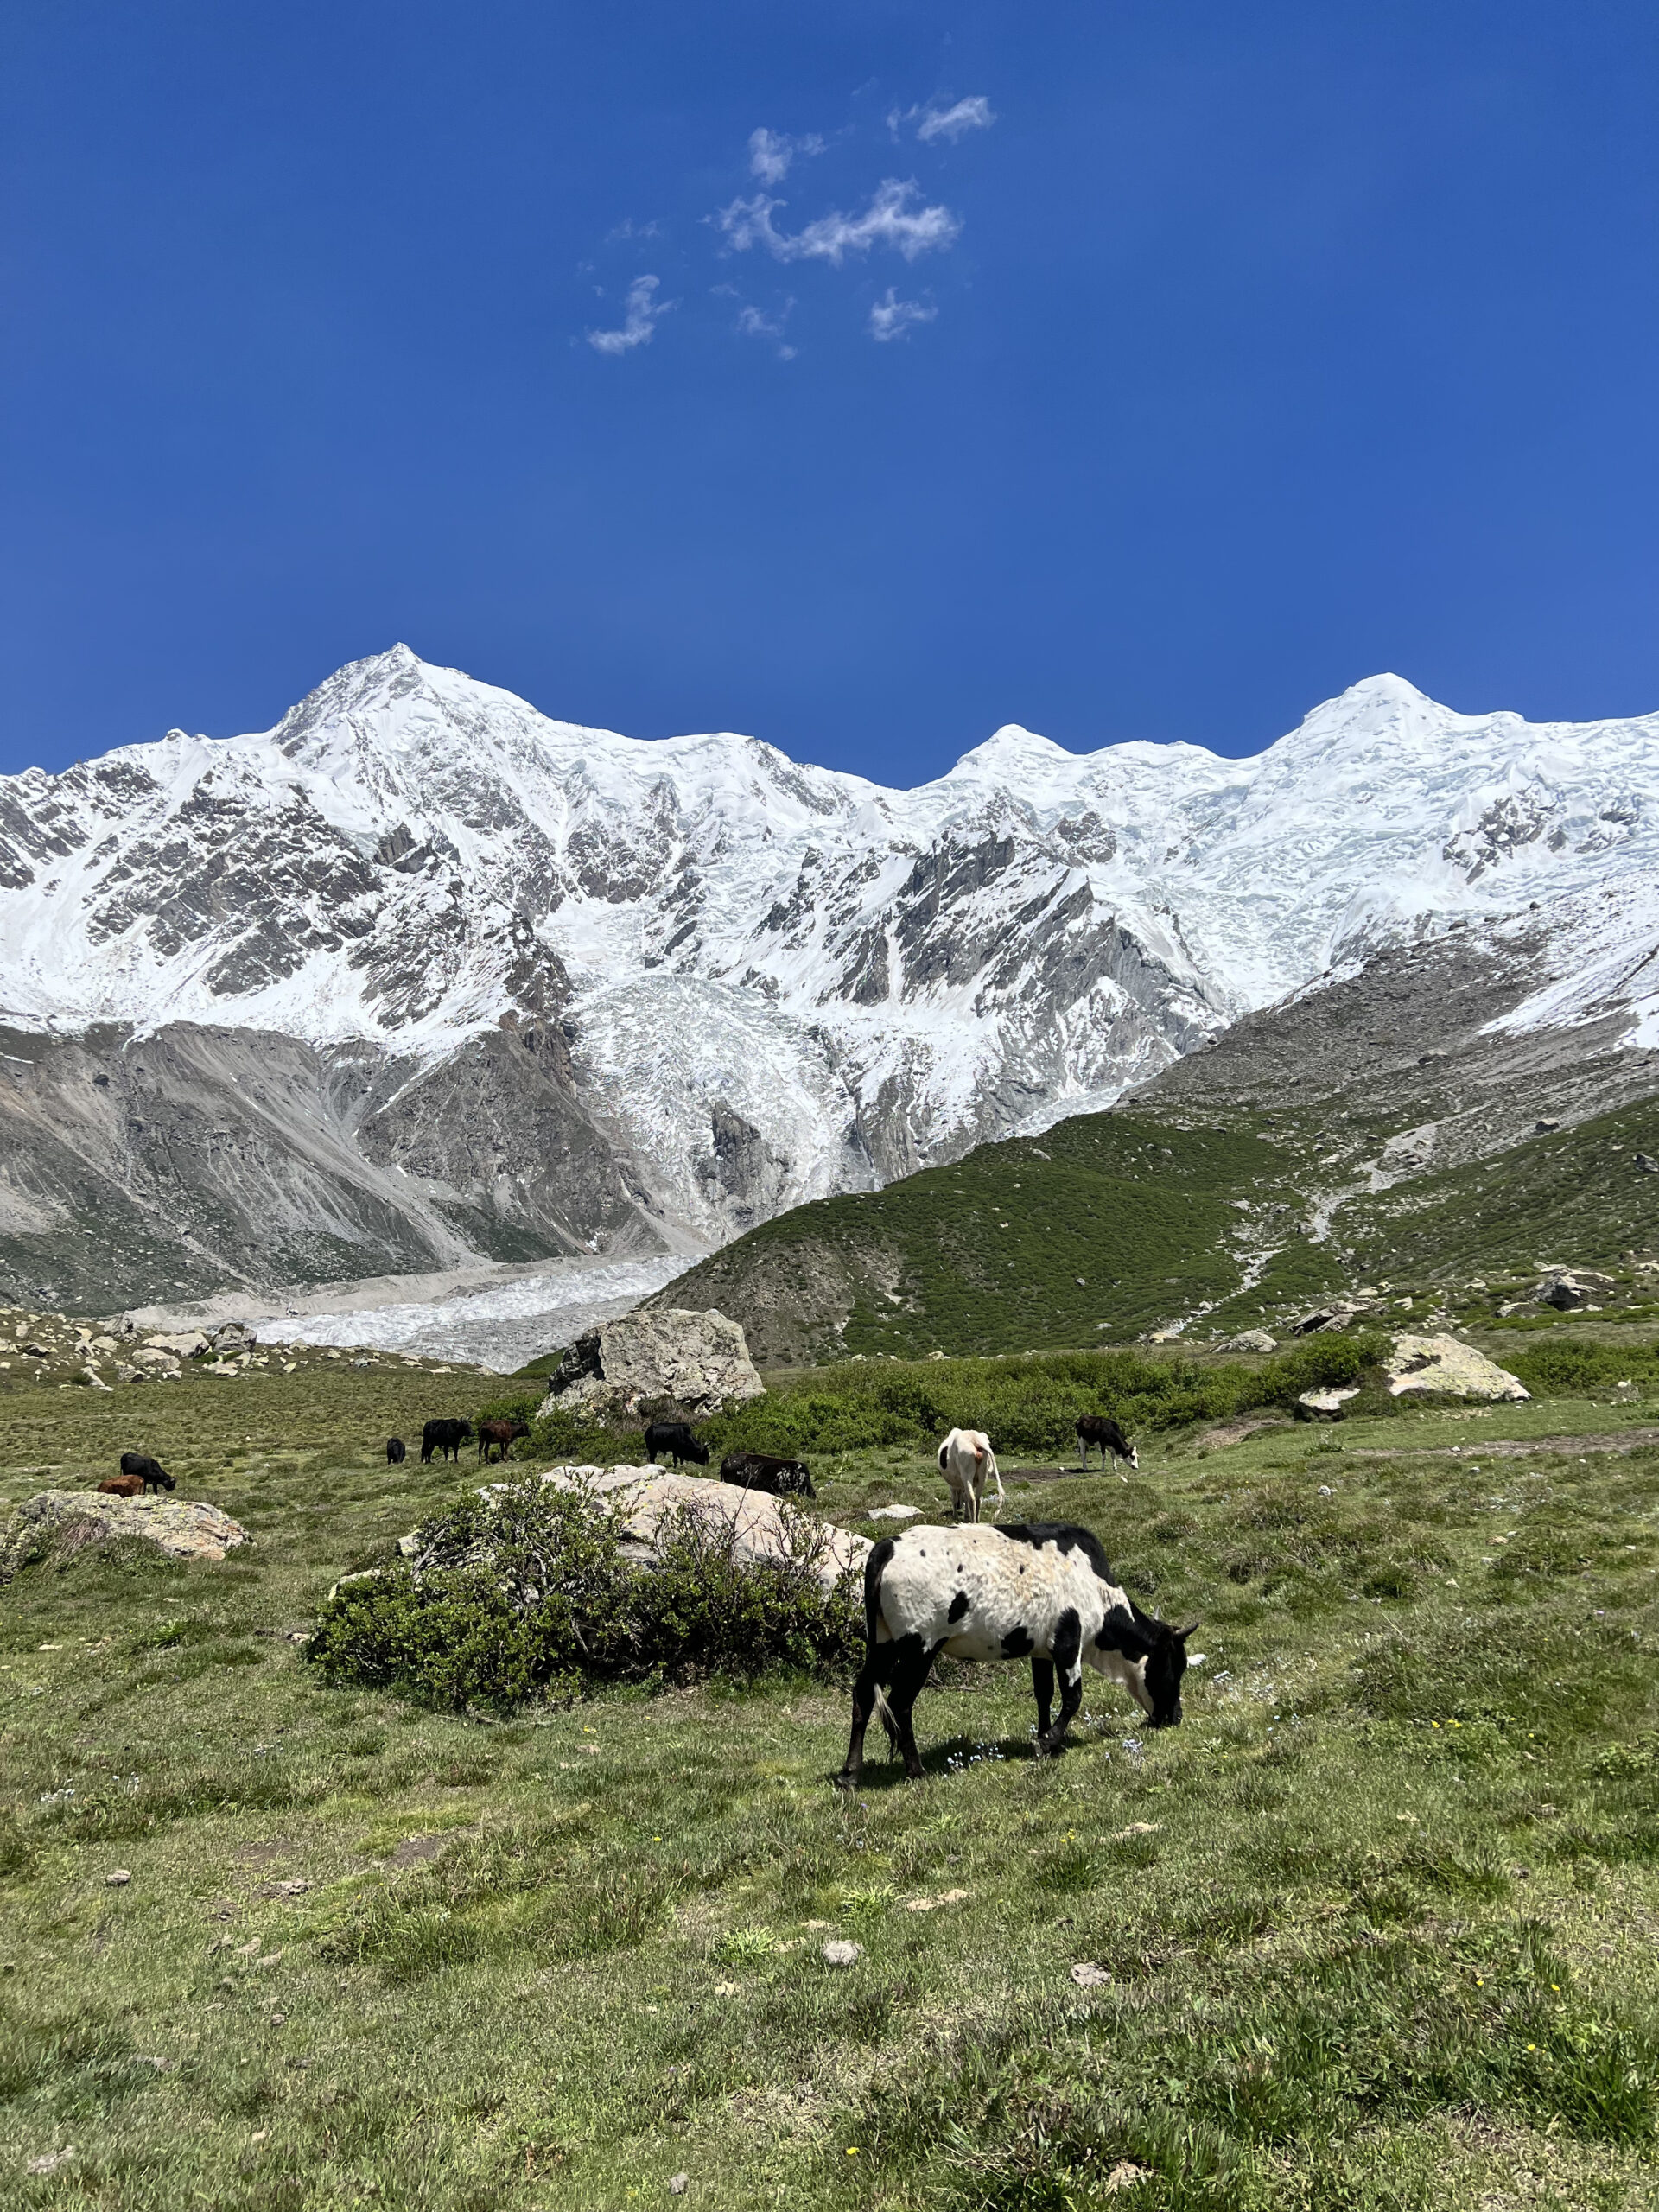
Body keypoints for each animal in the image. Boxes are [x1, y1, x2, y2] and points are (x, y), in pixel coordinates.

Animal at [836, 1513, 1203, 1787]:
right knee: (900, 1703)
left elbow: (1044, 1694)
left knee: (863, 1694)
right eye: (1174, 1666)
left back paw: (850, 1773)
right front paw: (1048, 1742)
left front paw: (1046, 1738)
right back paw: (915, 1769)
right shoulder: (1068, 1643)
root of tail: (888, 1546)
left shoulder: (1042, 1650)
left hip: (881, 1644)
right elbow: (1073, 1698)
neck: (1096, 1589)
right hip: (919, 1648)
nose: (1175, 1717)